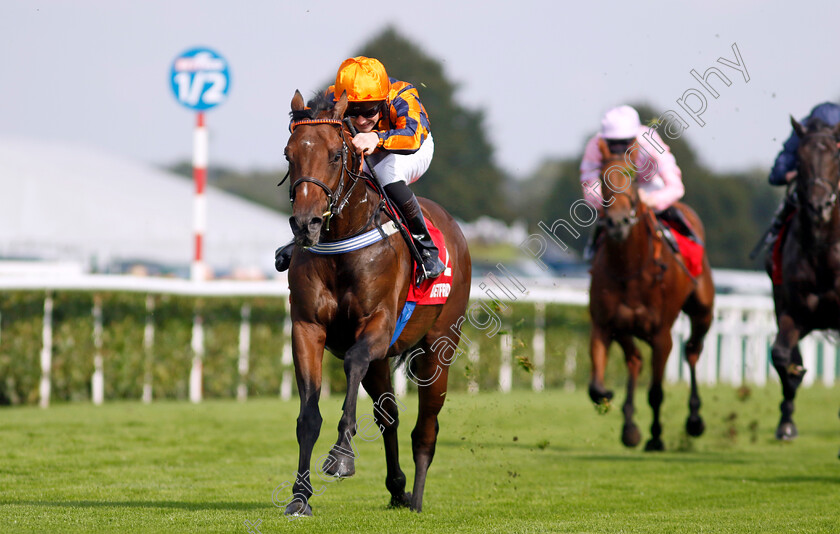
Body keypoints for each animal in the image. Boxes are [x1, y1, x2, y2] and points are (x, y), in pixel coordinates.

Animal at [278, 91, 470, 516]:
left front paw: (341, 456)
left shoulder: (378, 325)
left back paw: (416, 499)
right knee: (389, 416)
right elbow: (307, 416)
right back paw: (398, 489)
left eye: (336, 154)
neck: (342, 239)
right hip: (383, 360)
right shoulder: (307, 328)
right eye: (288, 154)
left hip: (439, 347)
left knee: (425, 427)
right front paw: (300, 497)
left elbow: (351, 363)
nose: (305, 224)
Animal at [584, 139, 716, 452]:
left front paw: (656, 437)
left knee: (692, 351)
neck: (630, 269)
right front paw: (610, 398)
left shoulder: (661, 334)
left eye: (632, 179)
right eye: (603, 180)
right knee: (634, 360)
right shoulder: (603, 325)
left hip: (703, 310)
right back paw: (629, 426)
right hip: (624, 330)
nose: (618, 223)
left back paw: (695, 419)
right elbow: (595, 387)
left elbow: (656, 391)